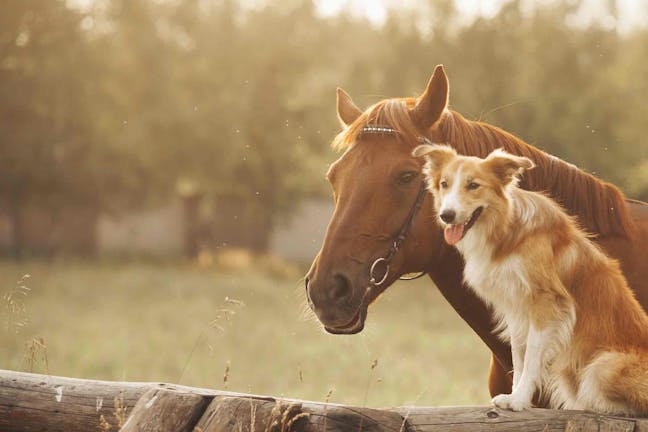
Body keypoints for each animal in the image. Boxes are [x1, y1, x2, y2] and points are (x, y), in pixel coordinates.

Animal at [412, 144, 648, 416]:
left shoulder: (546, 304)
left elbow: (533, 357)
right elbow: (519, 355)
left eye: (473, 185)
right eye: (444, 184)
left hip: (603, 366)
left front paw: (519, 400)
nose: (446, 215)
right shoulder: (516, 307)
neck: (506, 231)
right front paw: (514, 395)